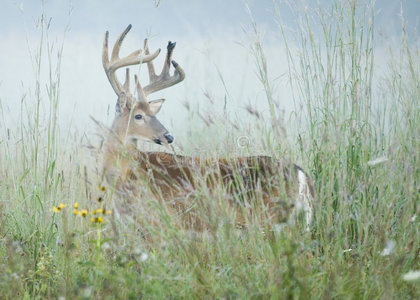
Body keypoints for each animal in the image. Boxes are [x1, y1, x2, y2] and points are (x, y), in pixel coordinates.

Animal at [101, 25, 314, 232]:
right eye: (138, 115)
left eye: (150, 114)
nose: (168, 136)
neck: (125, 173)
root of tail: (302, 176)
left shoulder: (160, 222)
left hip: (272, 220)